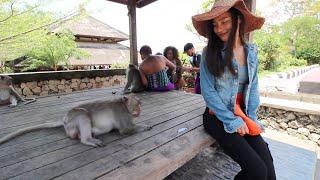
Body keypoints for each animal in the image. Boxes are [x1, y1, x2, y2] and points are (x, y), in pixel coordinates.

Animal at [0, 95, 152, 147]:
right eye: (138, 103)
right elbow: (126, 130)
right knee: (83, 115)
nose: (140, 109)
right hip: (73, 119)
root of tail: (64, 119)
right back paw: (87, 140)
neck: (125, 106)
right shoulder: (122, 114)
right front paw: (145, 126)